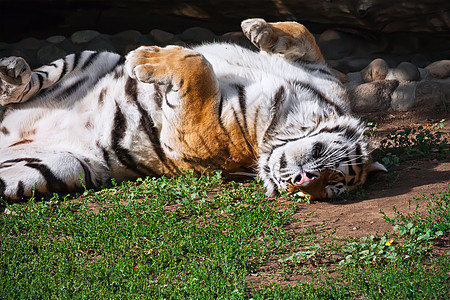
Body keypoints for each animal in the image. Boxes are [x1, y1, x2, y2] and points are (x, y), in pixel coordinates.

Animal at [0, 18, 386, 202]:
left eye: (330, 187)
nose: (301, 183)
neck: (305, 104)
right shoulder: (319, 72)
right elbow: (304, 32)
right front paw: (257, 30)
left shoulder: (194, 131)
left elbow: (198, 66)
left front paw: (145, 59)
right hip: (92, 57)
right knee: (24, 87)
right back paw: (12, 73)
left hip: (58, 168)